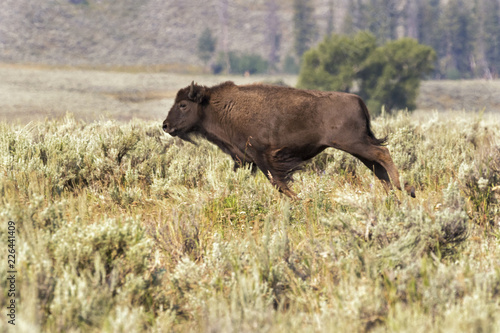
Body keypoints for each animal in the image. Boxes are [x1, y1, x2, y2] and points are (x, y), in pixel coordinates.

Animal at [163, 80, 414, 198]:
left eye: (183, 105)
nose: (165, 125)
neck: (219, 106)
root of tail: (358, 100)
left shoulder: (261, 155)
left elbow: (278, 182)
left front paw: (300, 199)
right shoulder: (245, 160)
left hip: (354, 143)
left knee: (383, 154)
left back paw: (404, 188)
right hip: (356, 148)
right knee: (377, 166)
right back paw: (393, 195)